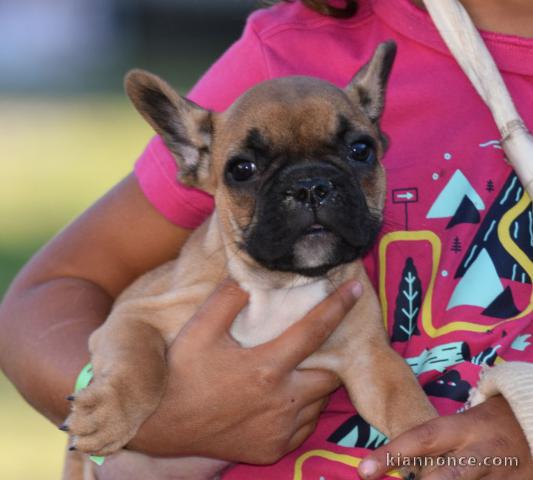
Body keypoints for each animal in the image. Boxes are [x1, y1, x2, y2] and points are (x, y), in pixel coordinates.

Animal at [63, 42, 436, 480]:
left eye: (361, 150)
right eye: (242, 169)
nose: (310, 185)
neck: (282, 284)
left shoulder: (371, 359)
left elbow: (409, 405)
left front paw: (437, 454)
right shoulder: (133, 316)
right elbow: (139, 364)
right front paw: (108, 413)